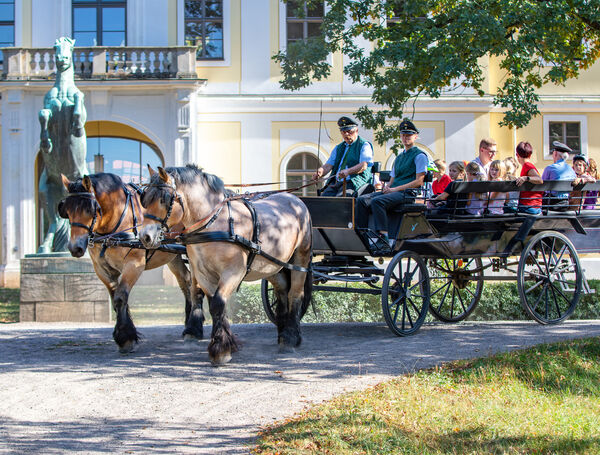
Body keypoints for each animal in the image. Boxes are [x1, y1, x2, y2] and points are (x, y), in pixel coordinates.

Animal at [60, 172, 206, 352]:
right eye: (66, 210)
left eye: (89, 209)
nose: (75, 248)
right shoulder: (101, 269)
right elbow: (116, 298)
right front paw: (125, 333)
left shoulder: (134, 264)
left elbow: (120, 297)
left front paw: (125, 337)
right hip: (172, 256)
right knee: (185, 282)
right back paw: (188, 322)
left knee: (196, 288)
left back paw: (194, 328)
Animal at [138, 166, 312, 366]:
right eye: (145, 199)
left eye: (164, 199)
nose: (145, 237)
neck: (214, 224)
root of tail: (295, 199)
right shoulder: (203, 274)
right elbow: (214, 305)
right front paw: (225, 344)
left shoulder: (233, 272)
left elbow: (218, 304)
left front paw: (220, 349)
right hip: (271, 264)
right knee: (282, 290)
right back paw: (283, 333)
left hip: (300, 257)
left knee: (295, 294)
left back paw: (290, 338)